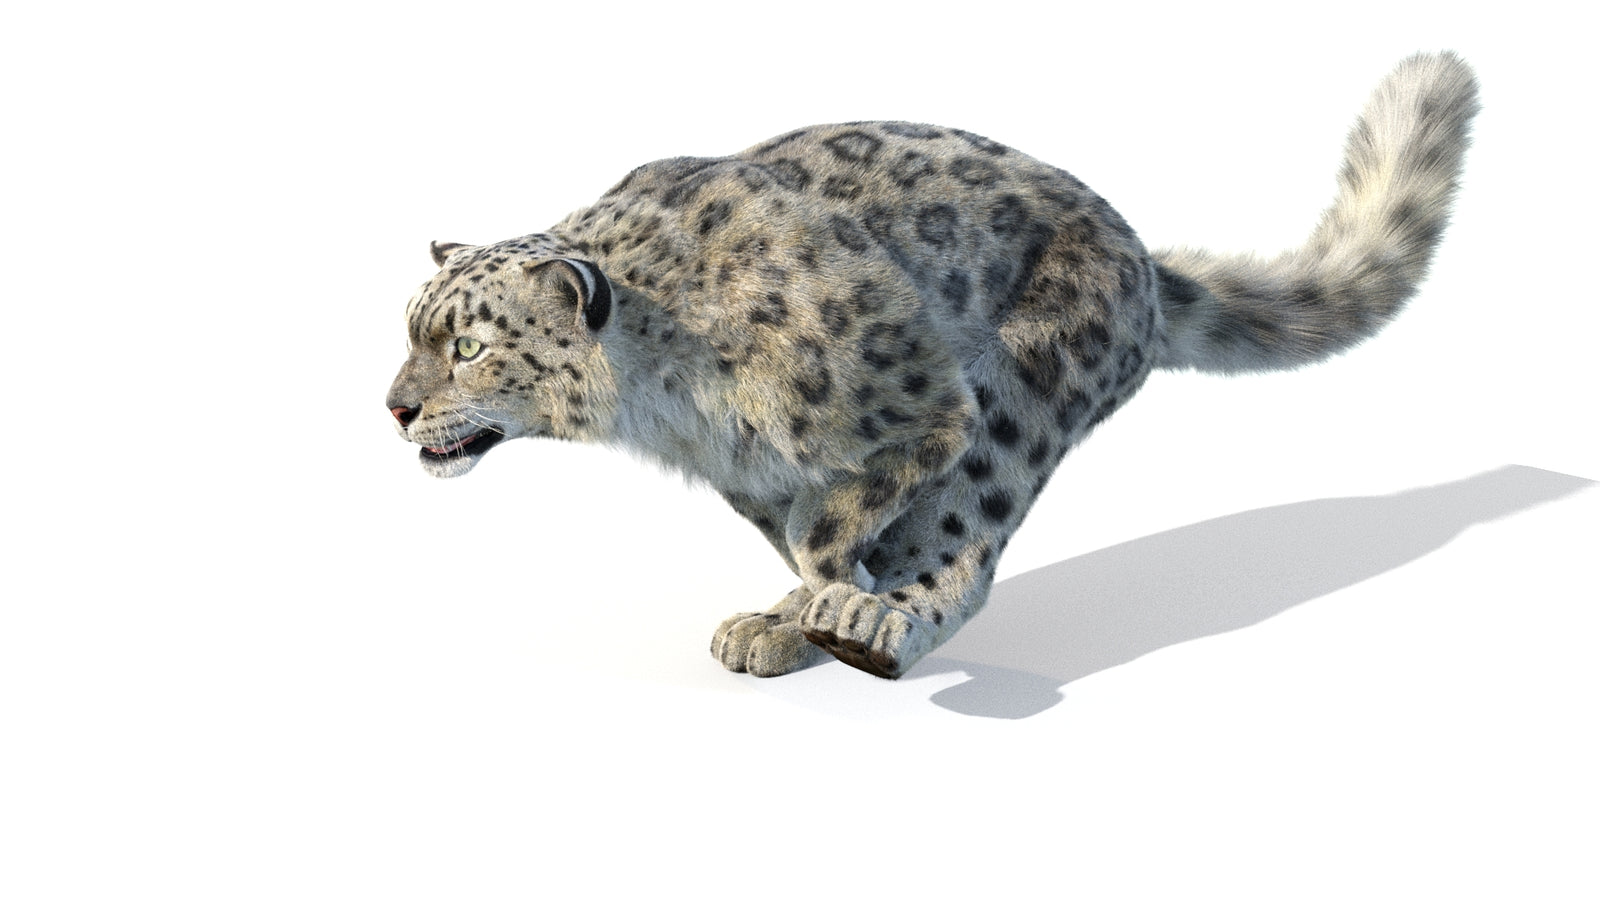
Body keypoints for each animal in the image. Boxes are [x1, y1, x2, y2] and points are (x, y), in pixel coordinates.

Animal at [386, 52, 1479, 679]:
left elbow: (827, 525)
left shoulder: (922, 408)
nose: (393, 409)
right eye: (409, 331)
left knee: (965, 540)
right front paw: (789, 614)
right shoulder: (747, 472)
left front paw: (835, 601)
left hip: (1020, 394)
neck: (672, 407)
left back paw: (875, 631)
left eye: (467, 347)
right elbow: (799, 530)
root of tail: (1138, 258)